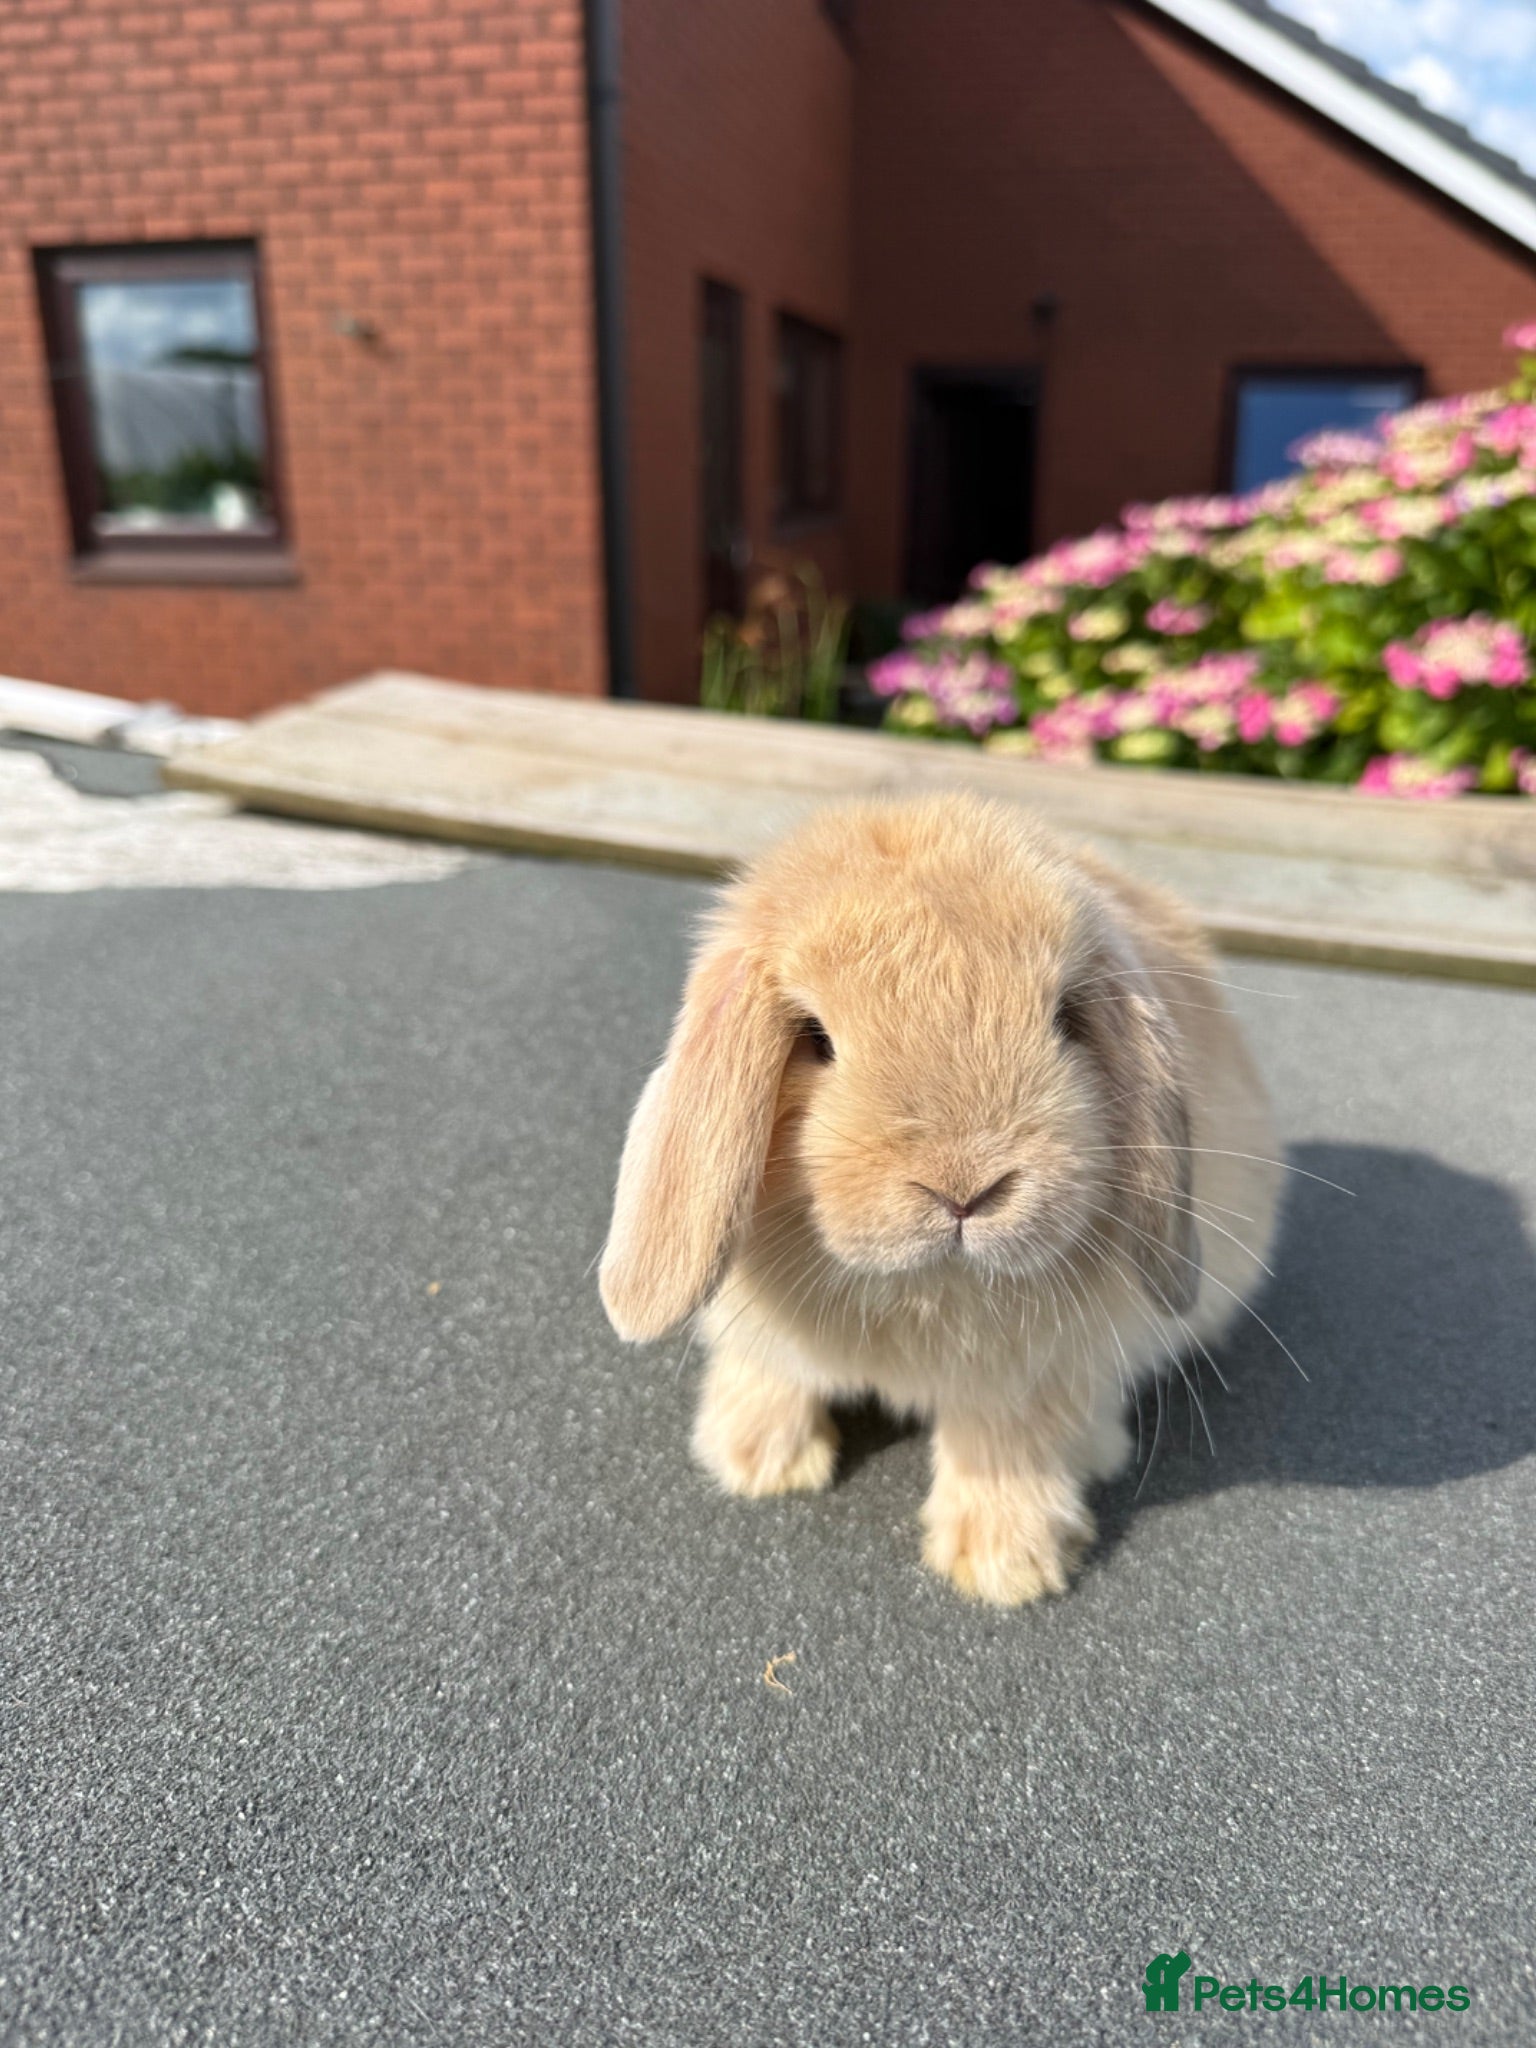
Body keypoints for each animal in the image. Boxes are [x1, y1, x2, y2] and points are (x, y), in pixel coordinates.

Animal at [600, 791, 1280, 1605]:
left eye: (1065, 1018)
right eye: (815, 1038)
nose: (965, 1189)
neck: (926, 1286)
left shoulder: (1031, 1375)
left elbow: (1005, 1445)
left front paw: (1004, 1566)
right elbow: (774, 1376)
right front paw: (755, 1463)